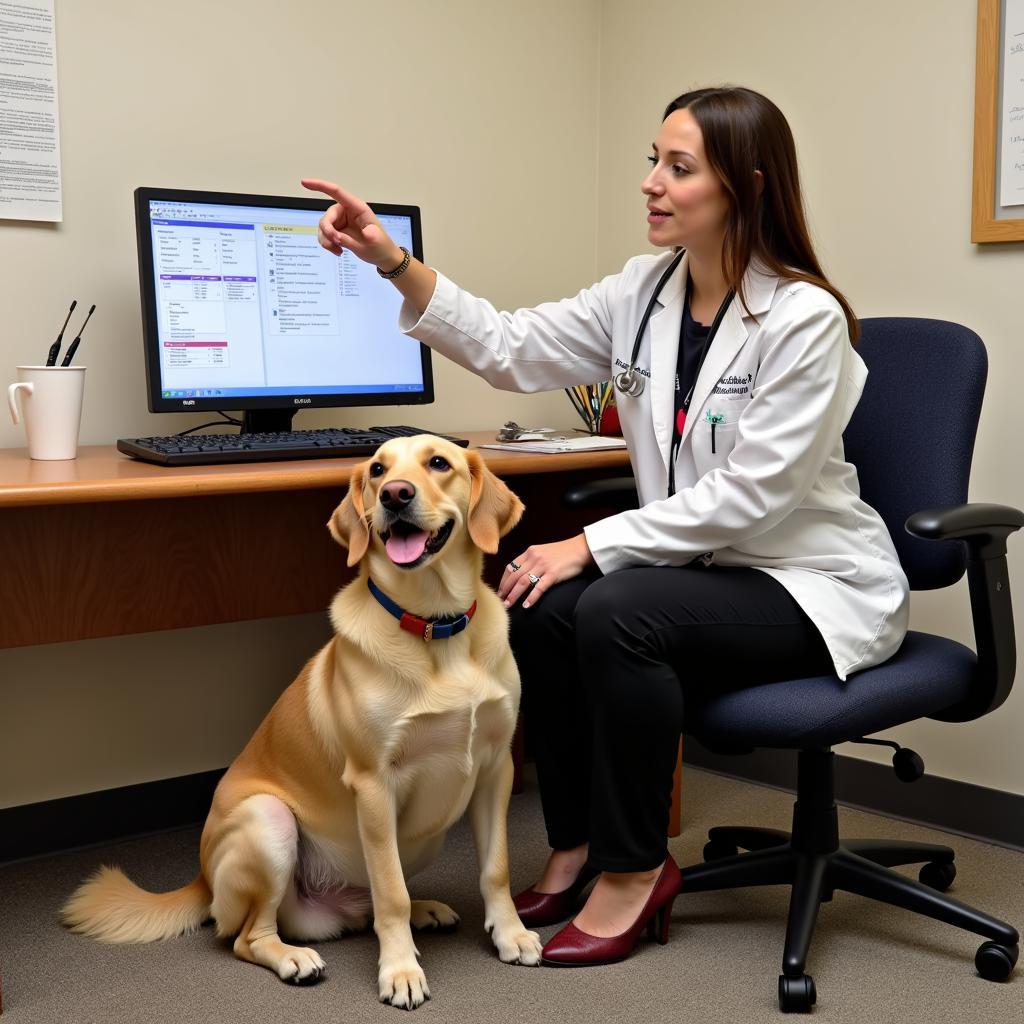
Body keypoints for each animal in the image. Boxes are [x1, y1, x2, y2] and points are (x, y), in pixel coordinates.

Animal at [61, 432, 544, 1007]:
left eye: (438, 463)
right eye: (377, 470)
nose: (394, 495)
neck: (435, 626)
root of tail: (202, 876)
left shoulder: (495, 769)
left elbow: (494, 869)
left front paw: (510, 933)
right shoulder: (373, 784)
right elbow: (391, 894)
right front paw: (400, 971)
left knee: (369, 903)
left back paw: (424, 911)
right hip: (269, 820)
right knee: (250, 936)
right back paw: (294, 958)